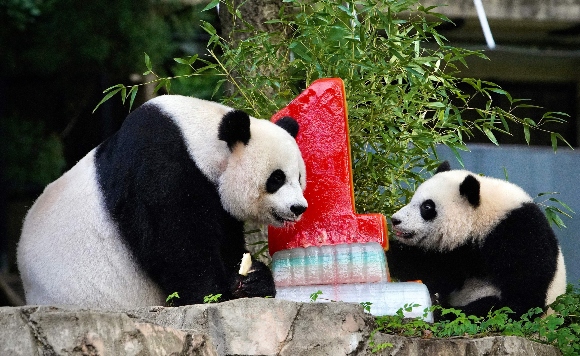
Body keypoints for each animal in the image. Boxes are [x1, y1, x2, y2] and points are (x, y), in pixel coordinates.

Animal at [17, 95, 308, 308]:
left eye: (299, 178)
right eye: (276, 178)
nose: (298, 208)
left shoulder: (216, 199)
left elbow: (226, 242)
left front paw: (252, 280)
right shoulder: (159, 169)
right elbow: (177, 243)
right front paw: (211, 295)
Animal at [388, 161, 564, 318]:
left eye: (427, 207)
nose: (395, 220)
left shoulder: (518, 234)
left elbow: (524, 295)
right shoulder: (460, 251)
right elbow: (434, 270)